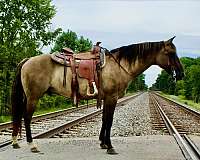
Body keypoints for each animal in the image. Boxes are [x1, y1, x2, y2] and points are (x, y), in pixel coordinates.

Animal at [11, 36, 184, 154]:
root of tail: (27, 60)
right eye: (171, 52)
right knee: (26, 117)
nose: (181, 73)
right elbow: (109, 120)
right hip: (33, 97)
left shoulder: (106, 98)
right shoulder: (112, 98)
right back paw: (32, 144)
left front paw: (103, 143)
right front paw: (110, 146)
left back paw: (15, 142)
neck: (119, 66)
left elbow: (104, 119)